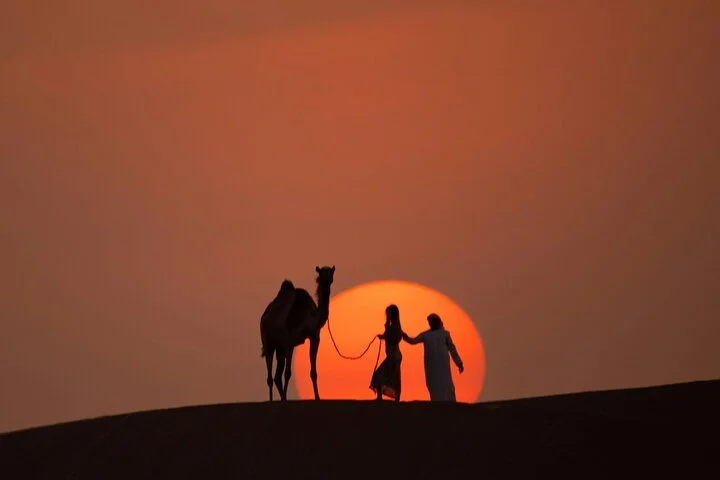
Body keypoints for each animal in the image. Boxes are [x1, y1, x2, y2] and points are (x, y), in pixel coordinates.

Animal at [260, 265, 335, 401]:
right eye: (320, 277)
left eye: (331, 277)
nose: (326, 288)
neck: (308, 318)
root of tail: (264, 315)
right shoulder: (290, 342)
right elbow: (288, 373)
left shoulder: (314, 337)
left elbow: (313, 372)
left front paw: (317, 397)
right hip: (268, 341)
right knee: (270, 376)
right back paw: (272, 400)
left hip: (280, 347)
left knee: (277, 376)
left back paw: (282, 398)